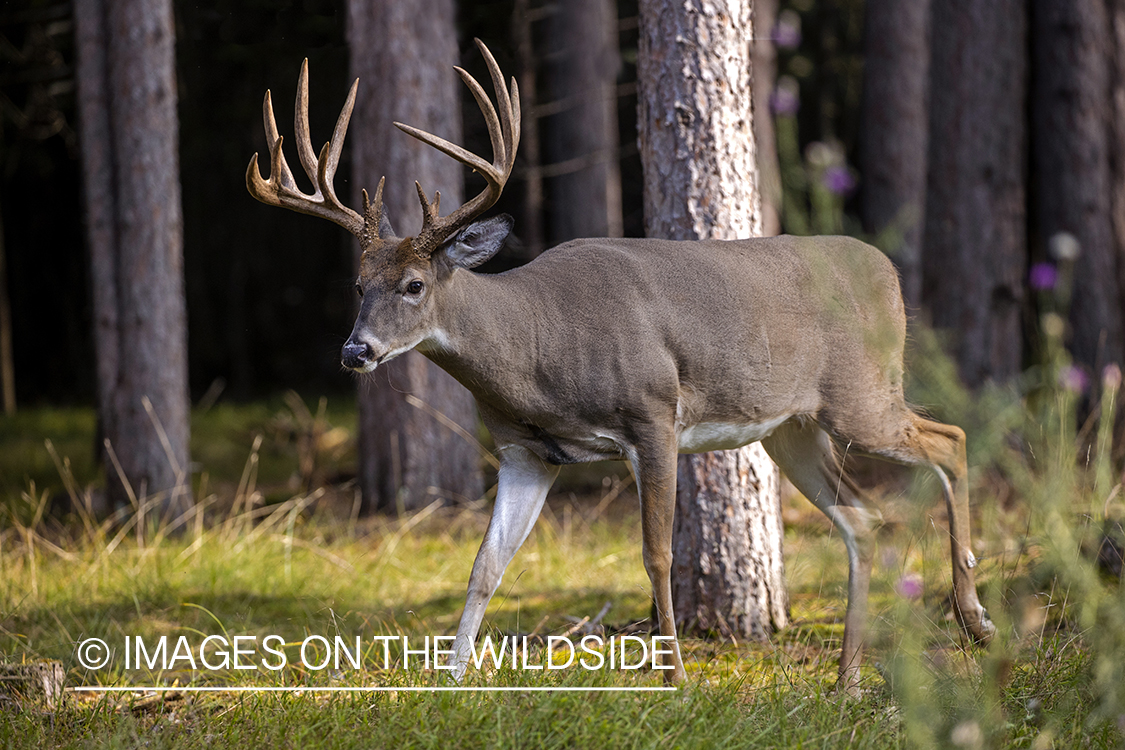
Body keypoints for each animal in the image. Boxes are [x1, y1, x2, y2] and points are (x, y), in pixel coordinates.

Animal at [246, 38, 994, 688]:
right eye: (357, 285)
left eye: (413, 285)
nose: (356, 351)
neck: (537, 350)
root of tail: (887, 270)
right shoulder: (526, 452)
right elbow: (485, 566)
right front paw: (449, 682)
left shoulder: (652, 416)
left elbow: (654, 555)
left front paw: (677, 679)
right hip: (792, 428)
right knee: (864, 519)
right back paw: (847, 680)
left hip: (859, 394)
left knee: (951, 440)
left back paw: (974, 619)